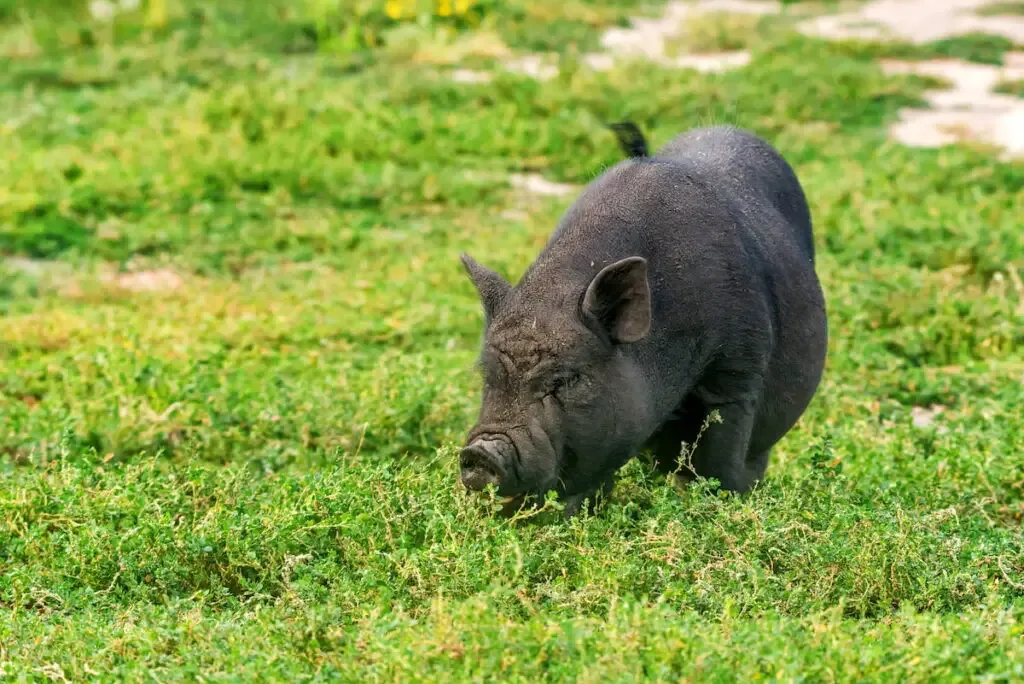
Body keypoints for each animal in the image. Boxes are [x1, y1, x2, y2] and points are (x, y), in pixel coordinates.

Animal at [460, 124, 827, 518]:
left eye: (566, 380)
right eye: (487, 375)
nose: (479, 452)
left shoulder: (740, 367)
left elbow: (721, 457)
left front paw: (718, 508)